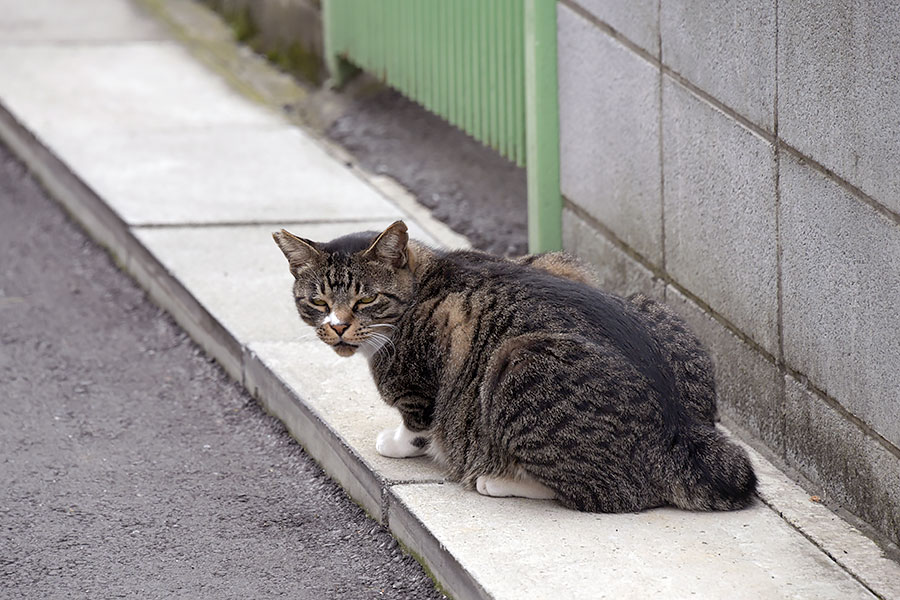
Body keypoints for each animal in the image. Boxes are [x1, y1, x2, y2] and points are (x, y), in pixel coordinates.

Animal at [270, 223, 756, 512]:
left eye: (366, 298)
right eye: (317, 302)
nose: (337, 327)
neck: (423, 279)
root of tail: (682, 432)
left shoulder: (418, 384)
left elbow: (417, 422)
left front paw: (399, 443)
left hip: (517, 363)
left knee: (603, 494)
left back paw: (498, 479)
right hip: (632, 299)